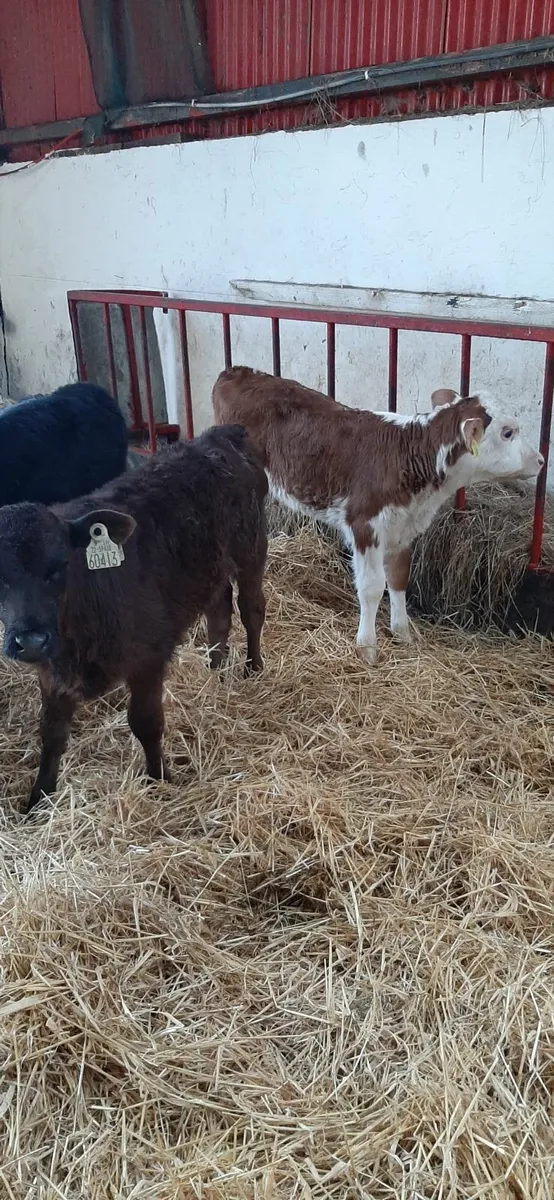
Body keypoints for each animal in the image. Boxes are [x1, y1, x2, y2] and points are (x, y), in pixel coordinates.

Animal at [0, 424, 267, 813]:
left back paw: (253, 667)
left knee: (252, 610)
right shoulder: (51, 673)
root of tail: (218, 435)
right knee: (219, 614)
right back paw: (215, 669)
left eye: (61, 565)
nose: (31, 640)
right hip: (210, 569)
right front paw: (39, 797)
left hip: (251, 550)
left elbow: (146, 722)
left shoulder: (148, 658)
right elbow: (51, 734)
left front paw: (158, 779)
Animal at [212, 368, 544, 664]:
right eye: (508, 432)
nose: (541, 460)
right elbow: (372, 589)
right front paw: (367, 648)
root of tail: (236, 371)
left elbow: (398, 579)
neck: (410, 458)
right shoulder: (365, 525)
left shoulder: (404, 528)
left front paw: (403, 634)